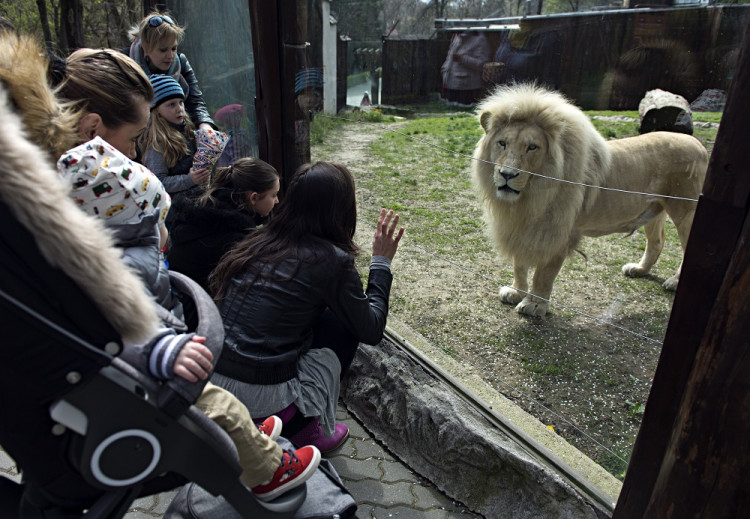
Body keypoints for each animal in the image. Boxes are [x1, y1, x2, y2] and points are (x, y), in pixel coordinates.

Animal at [476, 84, 712, 316]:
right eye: (502, 143)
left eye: (532, 147)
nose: (507, 174)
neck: (528, 198)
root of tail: (699, 144)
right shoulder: (519, 226)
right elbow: (519, 264)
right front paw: (516, 292)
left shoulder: (558, 233)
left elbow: (543, 275)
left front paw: (534, 305)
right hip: (656, 207)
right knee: (657, 242)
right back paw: (639, 269)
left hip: (686, 211)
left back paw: (674, 281)